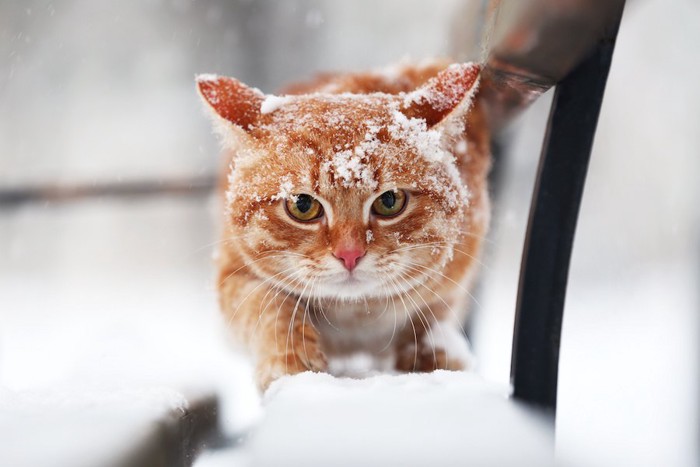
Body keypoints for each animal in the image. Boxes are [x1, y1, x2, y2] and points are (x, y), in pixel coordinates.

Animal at [197, 62, 490, 392]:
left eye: (390, 201)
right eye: (302, 205)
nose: (350, 254)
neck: (356, 317)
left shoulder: (455, 277)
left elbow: (431, 317)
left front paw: (432, 355)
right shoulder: (233, 274)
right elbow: (269, 305)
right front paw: (290, 358)